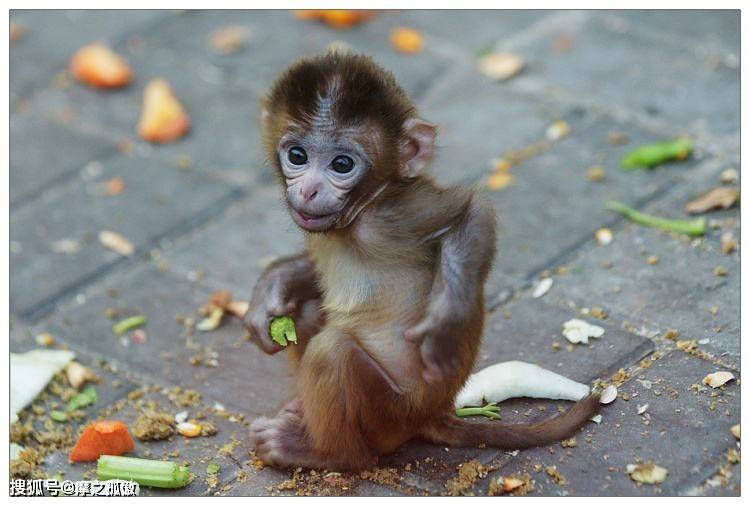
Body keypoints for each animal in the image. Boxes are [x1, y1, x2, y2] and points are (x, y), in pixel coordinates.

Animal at [247, 52, 600, 470]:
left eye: (342, 164)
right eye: (297, 156)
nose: (309, 189)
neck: (359, 214)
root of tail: (432, 413)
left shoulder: (396, 215)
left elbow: (471, 212)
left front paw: (444, 324)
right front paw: (273, 286)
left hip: (390, 413)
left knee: (332, 354)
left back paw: (327, 454)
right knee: (306, 312)